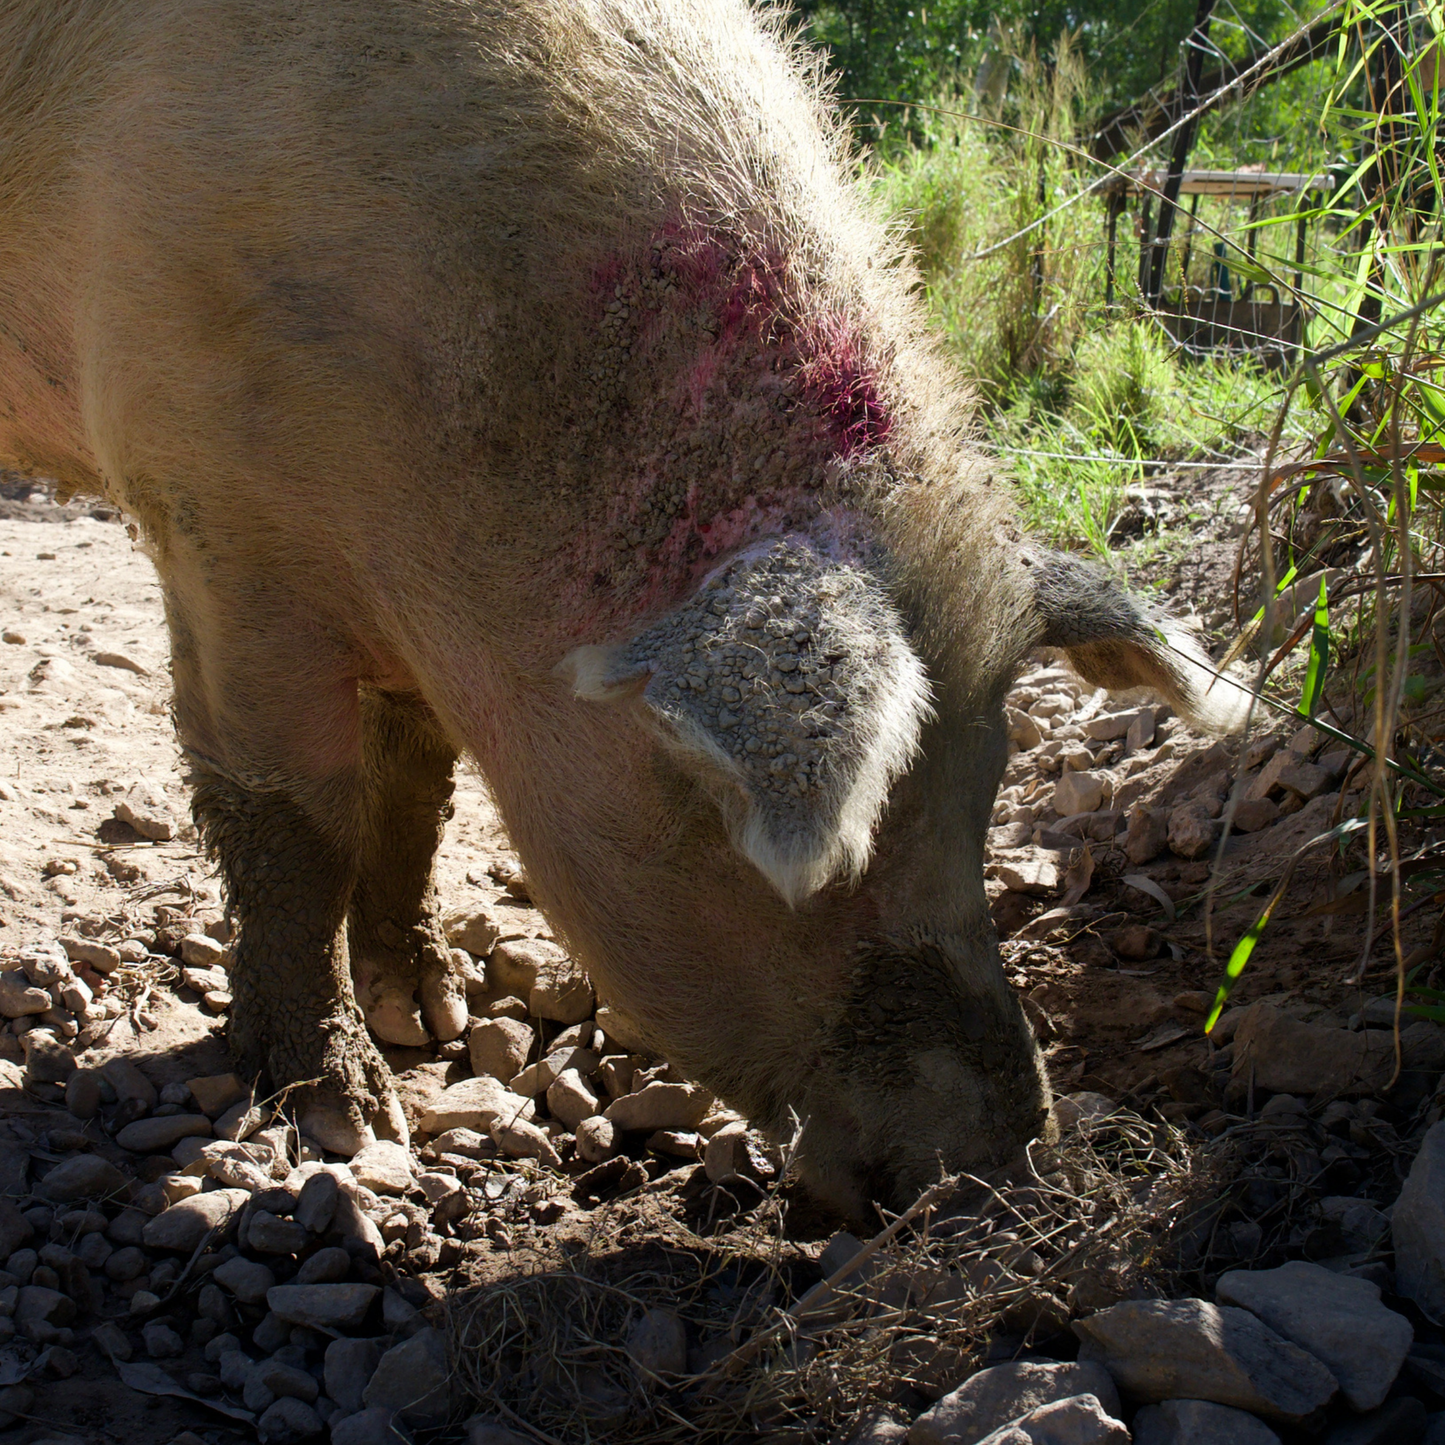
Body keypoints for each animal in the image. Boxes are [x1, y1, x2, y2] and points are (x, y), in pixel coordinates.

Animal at [0, 0, 1247, 1217]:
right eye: (807, 857)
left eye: (987, 788)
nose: (1012, 1164)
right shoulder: (217, 529)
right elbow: (293, 823)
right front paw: (348, 1116)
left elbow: (412, 799)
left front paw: (430, 1016)